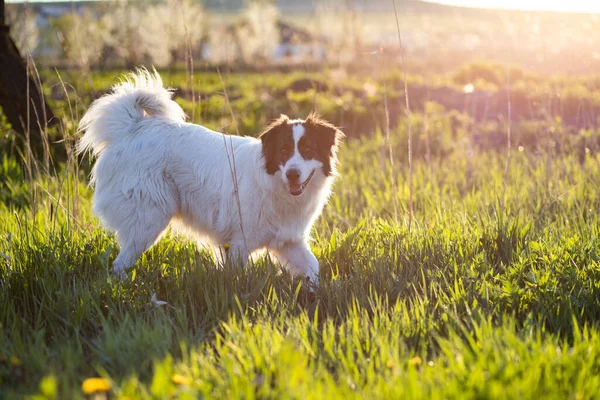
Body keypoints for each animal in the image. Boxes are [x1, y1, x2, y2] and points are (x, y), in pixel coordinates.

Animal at [77, 70, 344, 282]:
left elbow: (313, 266)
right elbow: (239, 276)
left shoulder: (288, 240)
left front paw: (314, 293)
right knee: (120, 263)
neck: (274, 184)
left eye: (308, 150)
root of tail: (133, 128)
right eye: (283, 152)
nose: (292, 174)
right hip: (149, 217)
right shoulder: (239, 243)